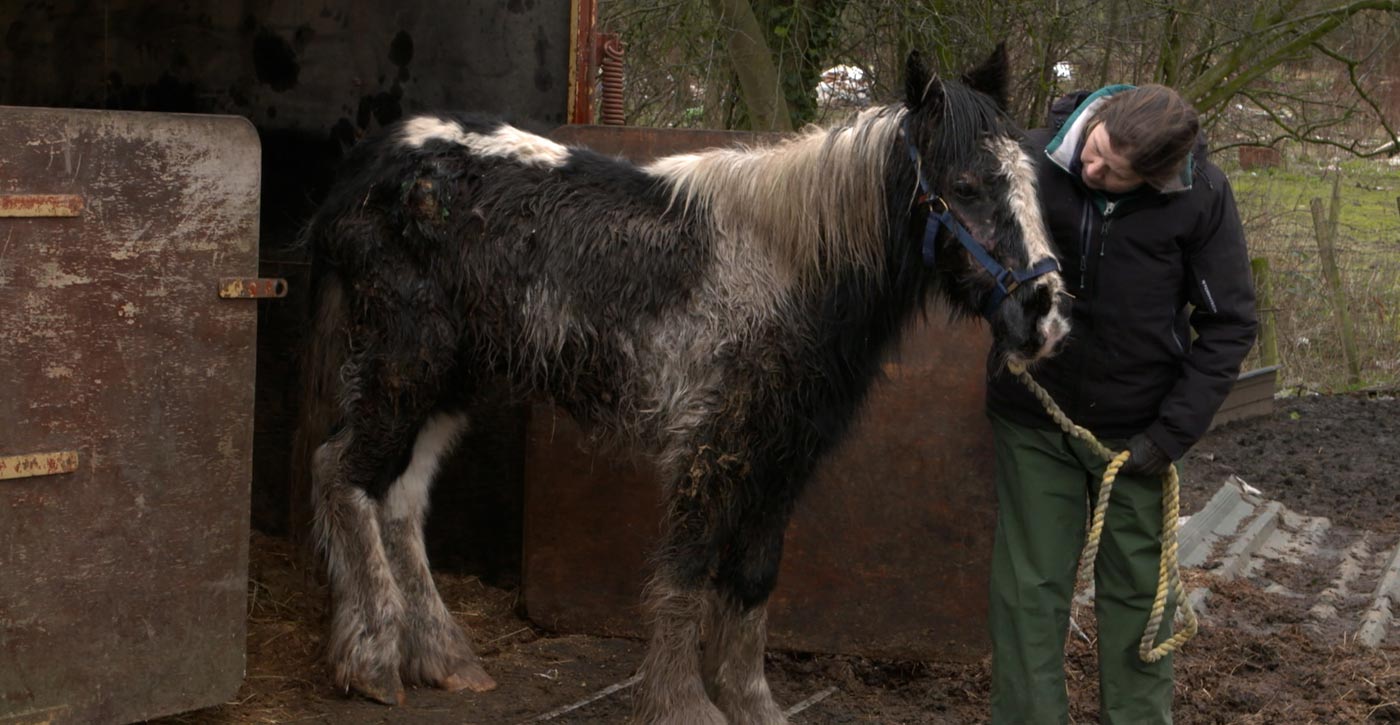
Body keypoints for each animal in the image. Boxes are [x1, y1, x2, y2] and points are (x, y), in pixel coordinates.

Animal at [297, 44, 1068, 724]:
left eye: (1031, 184)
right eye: (965, 187)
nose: (1045, 314)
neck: (786, 269)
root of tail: (371, 164)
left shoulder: (784, 456)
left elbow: (754, 577)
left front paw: (752, 703)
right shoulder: (710, 444)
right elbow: (690, 571)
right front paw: (681, 704)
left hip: (452, 381)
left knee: (398, 498)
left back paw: (442, 656)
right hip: (404, 363)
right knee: (342, 473)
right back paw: (370, 660)